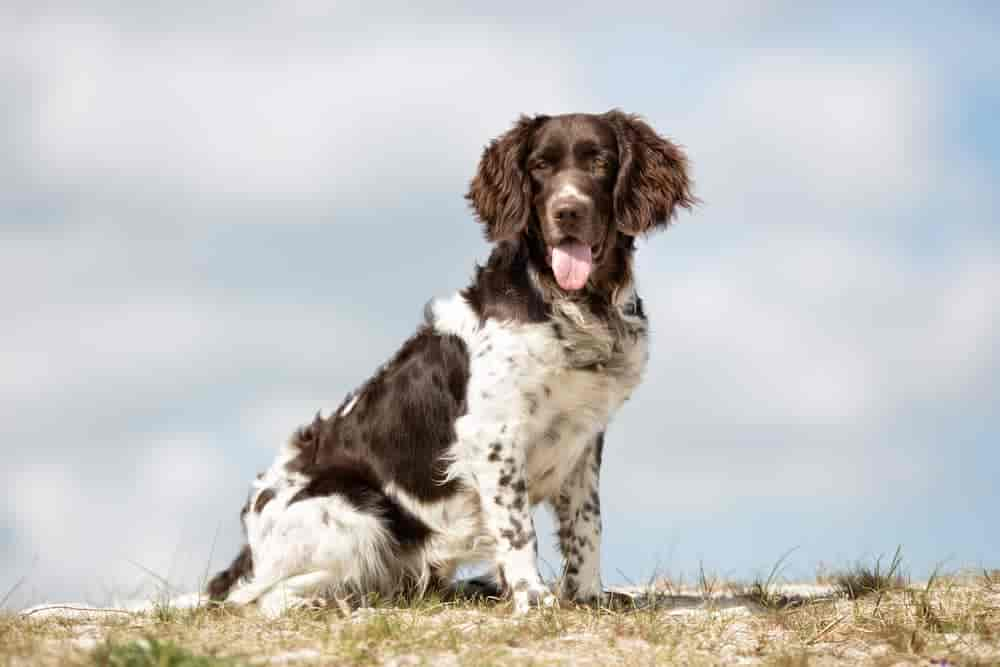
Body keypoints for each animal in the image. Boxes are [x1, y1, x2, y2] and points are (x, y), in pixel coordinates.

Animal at [207, 109, 696, 616]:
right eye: (540, 166)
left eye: (599, 162)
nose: (567, 212)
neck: (574, 306)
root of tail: (247, 550)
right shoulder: (493, 434)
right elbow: (518, 528)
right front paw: (531, 596)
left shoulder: (584, 435)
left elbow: (586, 525)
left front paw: (586, 596)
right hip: (354, 509)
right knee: (264, 598)